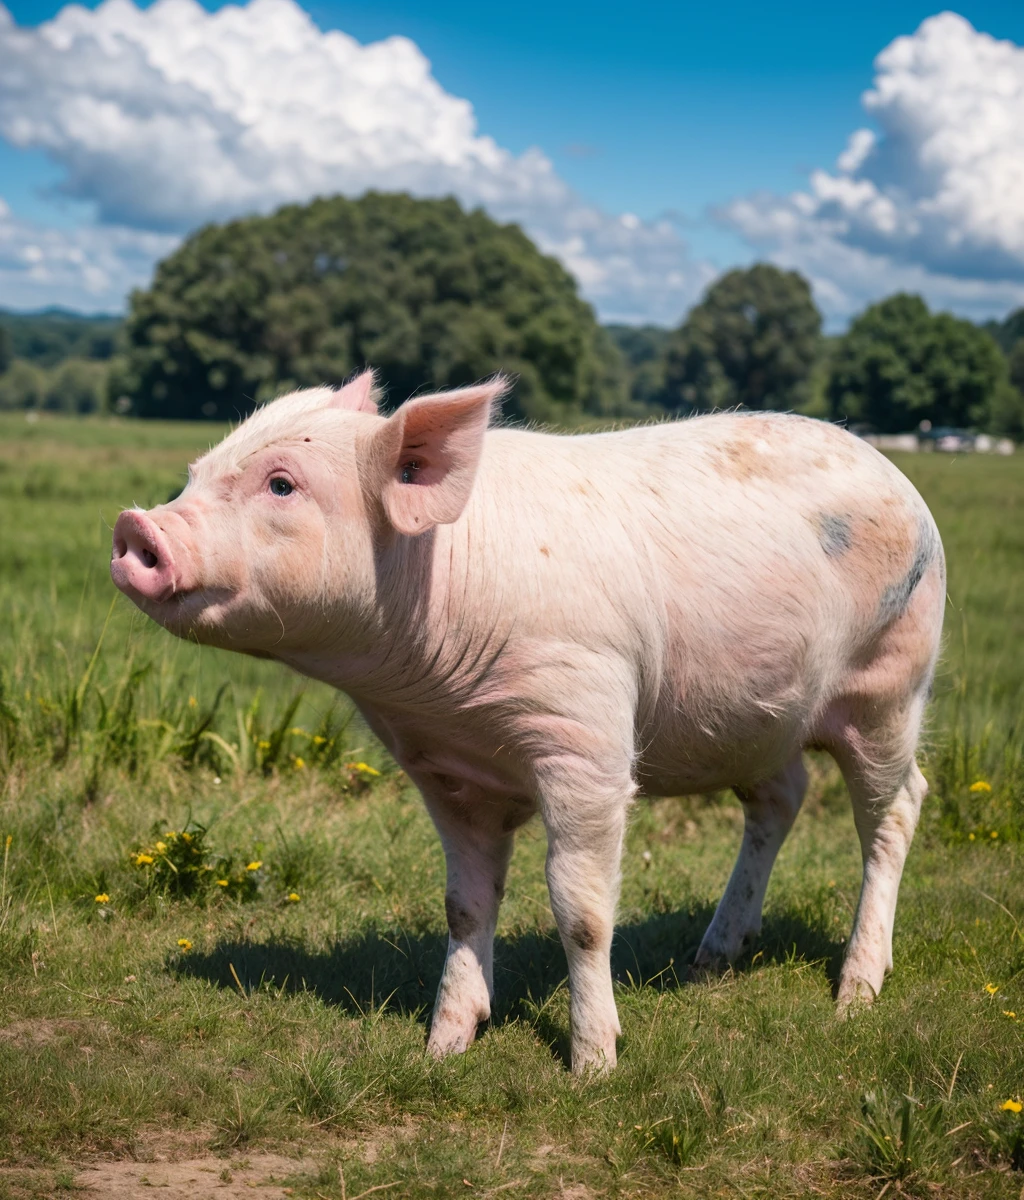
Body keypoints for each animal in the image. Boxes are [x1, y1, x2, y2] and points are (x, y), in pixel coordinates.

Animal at [109, 369, 941, 1075]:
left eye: (281, 484)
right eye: (196, 471)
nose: (135, 525)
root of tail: (894, 473)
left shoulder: (588, 738)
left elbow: (582, 910)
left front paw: (594, 1067)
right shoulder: (444, 771)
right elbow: (464, 903)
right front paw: (443, 1049)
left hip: (891, 683)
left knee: (898, 808)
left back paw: (855, 995)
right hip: (759, 715)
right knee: (781, 798)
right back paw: (712, 959)